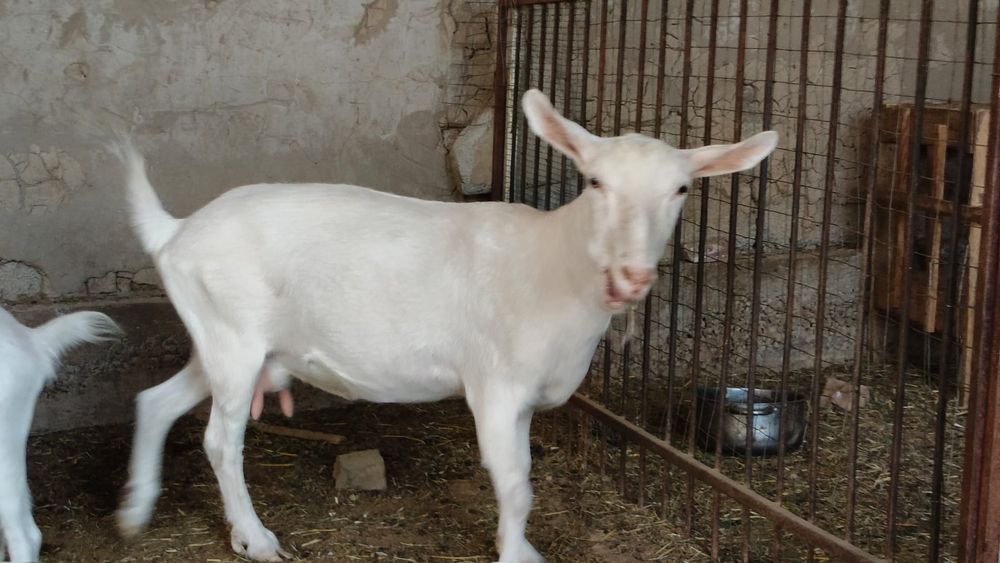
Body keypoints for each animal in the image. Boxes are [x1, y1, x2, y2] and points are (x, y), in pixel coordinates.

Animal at [114, 89, 778, 563]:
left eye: (682, 188)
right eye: (594, 181)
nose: (632, 276)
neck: (556, 265)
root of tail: (176, 231)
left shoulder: (528, 395)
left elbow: (521, 478)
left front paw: (519, 546)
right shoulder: (496, 384)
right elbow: (515, 484)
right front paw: (515, 555)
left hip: (222, 340)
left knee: (156, 400)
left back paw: (136, 511)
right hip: (234, 336)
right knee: (219, 440)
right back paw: (256, 540)